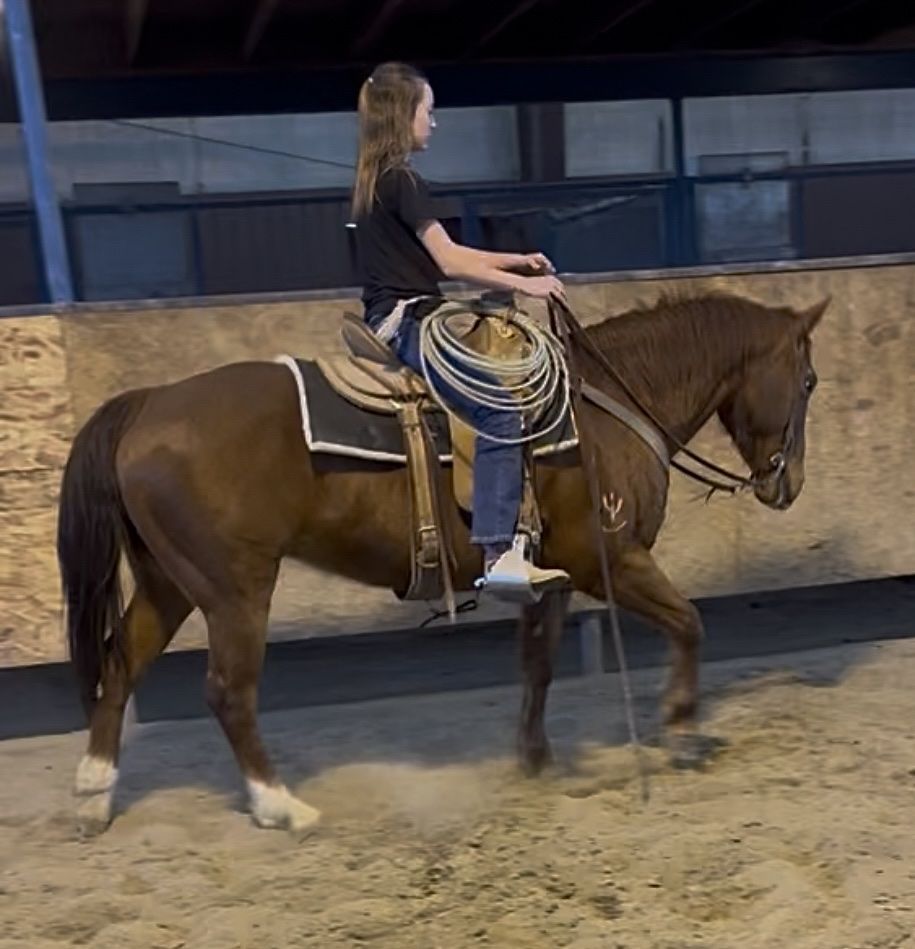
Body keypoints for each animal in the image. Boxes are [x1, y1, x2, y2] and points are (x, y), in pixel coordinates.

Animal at [56, 289, 827, 834]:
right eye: (810, 381)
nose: (787, 484)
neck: (601, 414)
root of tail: (148, 404)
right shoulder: (607, 557)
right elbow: (689, 621)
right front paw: (682, 727)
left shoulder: (551, 579)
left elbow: (539, 662)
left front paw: (535, 759)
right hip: (235, 590)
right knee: (227, 691)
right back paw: (281, 806)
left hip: (170, 583)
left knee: (120, 665)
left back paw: (94, 795)